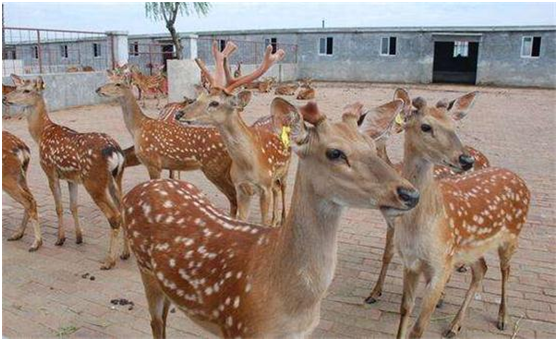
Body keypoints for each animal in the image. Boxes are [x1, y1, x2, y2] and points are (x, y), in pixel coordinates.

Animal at [4, 74, 129, 268]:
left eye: (26, 90)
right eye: (16, 87)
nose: (5, 98)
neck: (41, 133)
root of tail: (115, 152)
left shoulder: (50, 171)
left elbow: (59, 207)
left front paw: (60, 239)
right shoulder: (72, 178)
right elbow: (73, 206)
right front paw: (78, 238)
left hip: (94, 181)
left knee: (114, 215)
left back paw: (109, 261)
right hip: (116, 178)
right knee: (122, 210)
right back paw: (125, 253)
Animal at [122, 96, 420, 338]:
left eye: (371, 144)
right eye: (335, 152)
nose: (410, 193)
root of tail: (136, 191)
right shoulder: (238, 326)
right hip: (146, 270)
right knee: (156, 324)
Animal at [388, 91, 532, 338]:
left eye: (454, 125)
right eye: (426, 126)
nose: (466, 160)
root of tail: (521, 181)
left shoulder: (442, 264)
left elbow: (419, 328)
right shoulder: (411, 262)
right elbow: (405, 309)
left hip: (512, 235)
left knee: (506, 270)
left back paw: (502, 318)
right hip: (471, 248)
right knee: (482, 269)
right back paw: (455, 324)